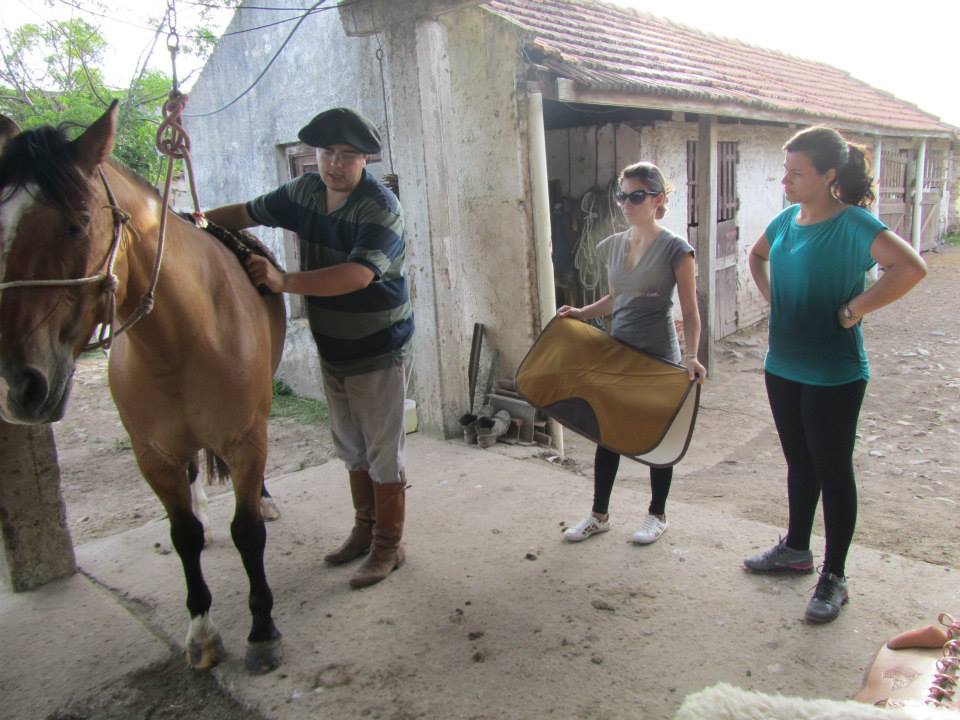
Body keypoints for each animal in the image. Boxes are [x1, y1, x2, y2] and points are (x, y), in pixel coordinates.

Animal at [0, 101, 287, 674]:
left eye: (77, 225)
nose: (22, 386)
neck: (182, 336)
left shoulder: (246, 439)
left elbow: (248, 533)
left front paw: (262, 630)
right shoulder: (151, 453)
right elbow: (184, 536)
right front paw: (201, 633)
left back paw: (264, 499)